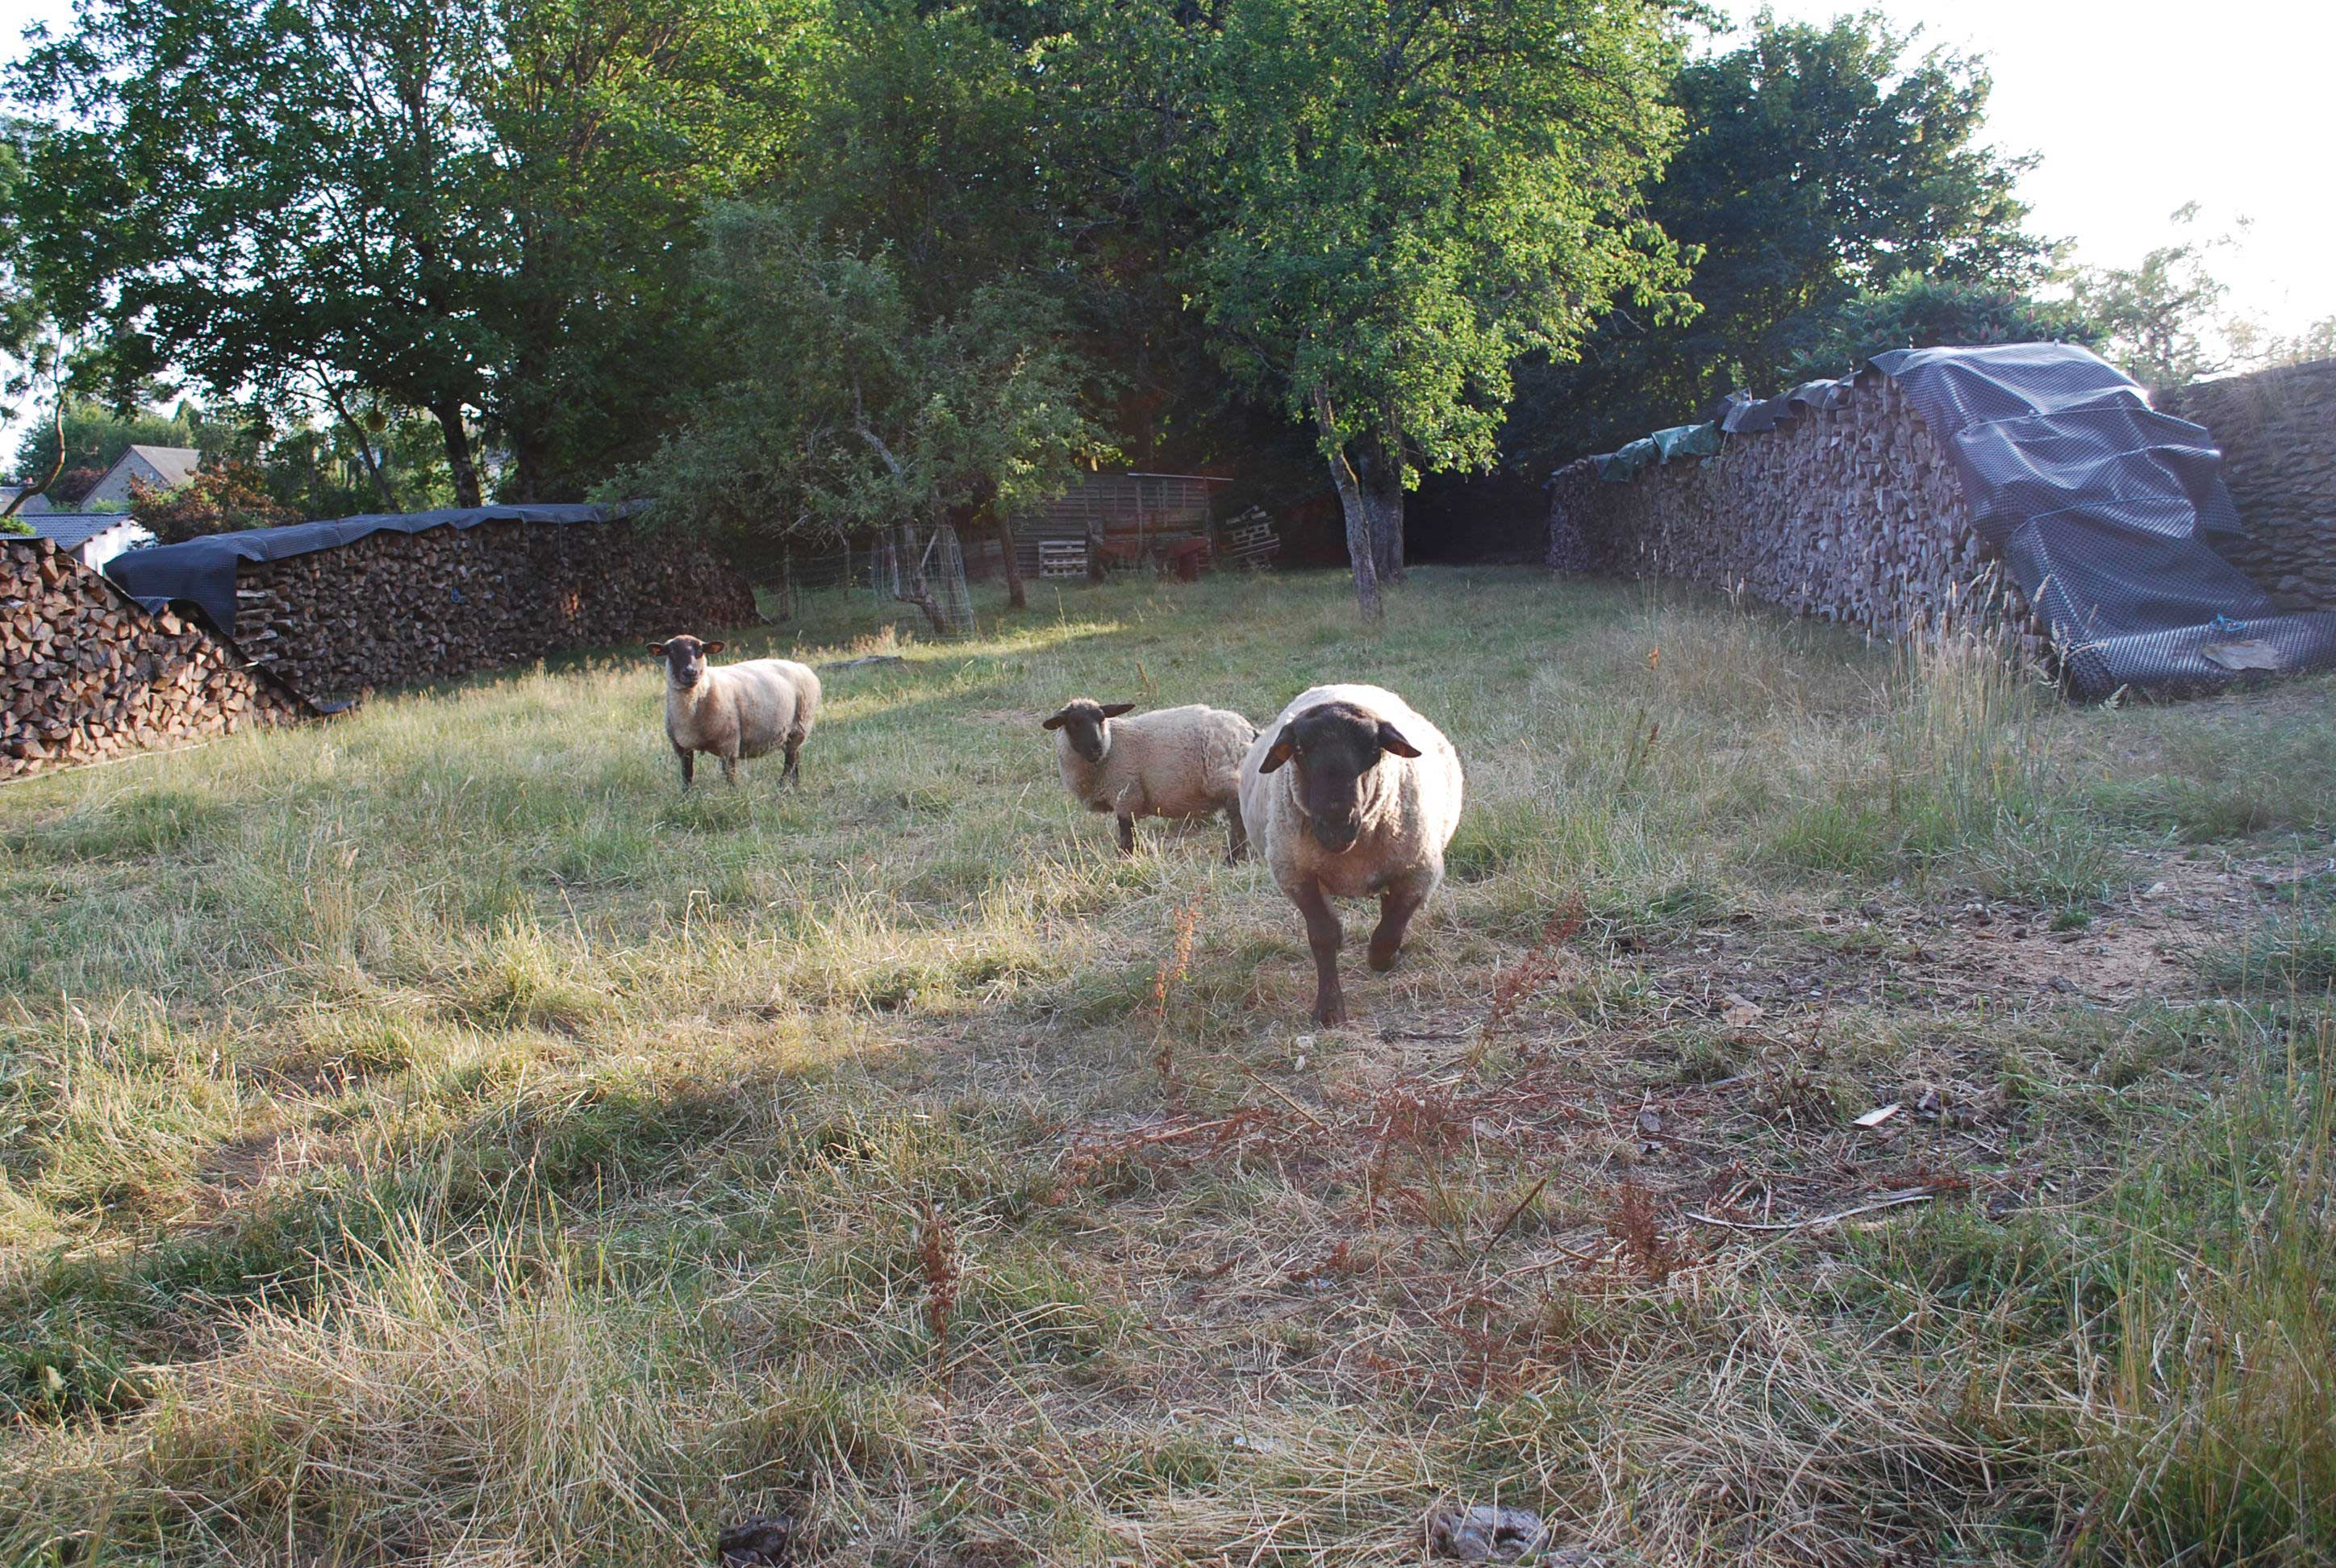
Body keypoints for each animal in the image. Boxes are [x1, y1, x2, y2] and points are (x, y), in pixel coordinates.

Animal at [644, 636, 817, 790]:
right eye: (671, 652)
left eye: (700, 650)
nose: (690, 672)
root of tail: (800, 665)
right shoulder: (682, 747)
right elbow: (687, 776)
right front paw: (685, 799)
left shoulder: (729, 743)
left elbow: (729, 775)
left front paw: (733, 795)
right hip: (790, 733)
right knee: (795, 759)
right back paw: (795, 787)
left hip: (799, 726)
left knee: (790, 761)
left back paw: (780, 787)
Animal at [1041, 701, 1261, 864]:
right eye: (1074, 722)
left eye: (1102, 718)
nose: (1096, 748)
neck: (1112, 746)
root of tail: (1249, 730)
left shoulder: (1126, 794)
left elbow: (1126, 834)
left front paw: (1126, 860)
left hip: (1226, 776)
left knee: (1238, 816)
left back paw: (1233, 858)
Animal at [1242, 682, 1458, 1028]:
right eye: (1299, 749)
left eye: (1373, 749)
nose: (1336, 822)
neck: (1348, 852)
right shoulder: (1297, 875)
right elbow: (1323, 935)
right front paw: (1329, 1011)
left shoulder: (1418, 871)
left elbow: (1388, 933)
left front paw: (1384, 959)